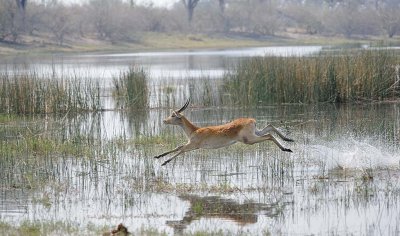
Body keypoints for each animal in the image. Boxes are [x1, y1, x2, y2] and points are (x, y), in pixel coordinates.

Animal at [155, 97, 292, 166]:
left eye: (173, 115)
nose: (164, 120)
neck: (195, 130)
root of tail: (251, 120)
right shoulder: (191, 144)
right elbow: (178, 147)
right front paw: (158, 156)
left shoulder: (193, 145)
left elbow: (181, 150)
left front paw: (165, 162)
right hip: (255, 133)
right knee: (270, 127)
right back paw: (288, 141)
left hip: (249, 140)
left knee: (269, 135)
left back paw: (286, 148)